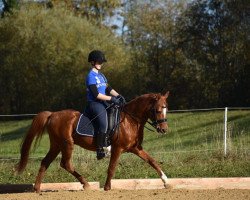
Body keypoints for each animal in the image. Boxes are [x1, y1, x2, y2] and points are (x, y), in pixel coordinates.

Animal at [15, 91, 170, 191]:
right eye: (157, 110)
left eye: (166, 109)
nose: (164, 129)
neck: (130, 120)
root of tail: (52, 114)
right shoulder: (118, 148)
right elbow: (112, 168)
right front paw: (107, 188)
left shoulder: (136, 148)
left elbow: (152, 161)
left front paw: (166, 181)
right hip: (67, 144)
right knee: (66, 164)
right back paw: (86, 184)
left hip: (56, 145)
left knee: (45, 163)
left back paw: (37, 189)